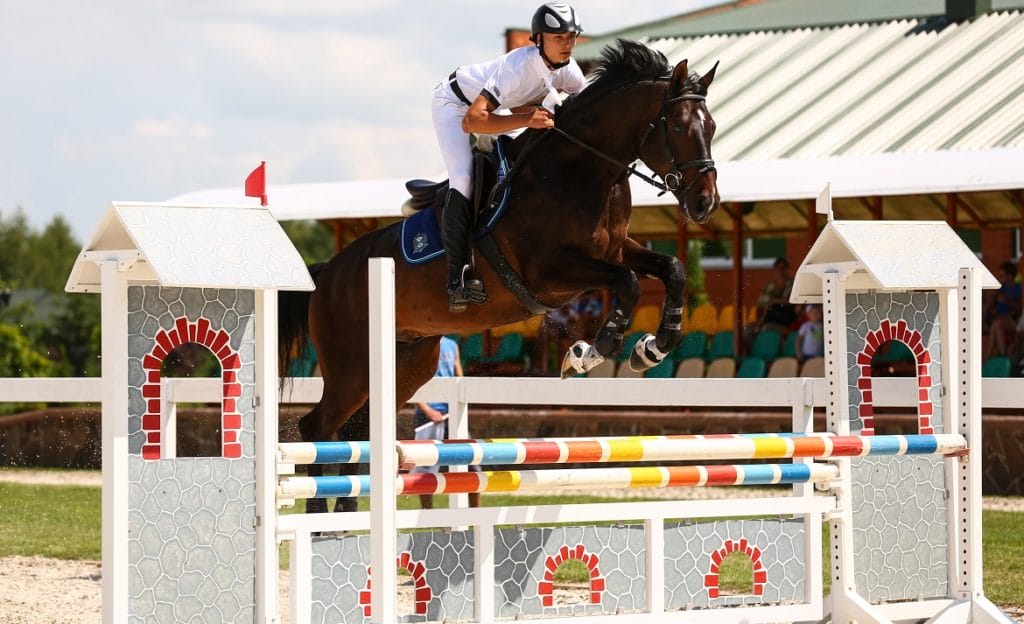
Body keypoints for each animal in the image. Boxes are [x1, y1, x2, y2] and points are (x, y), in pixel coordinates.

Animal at [280, 41, 720, 514]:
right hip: (350, 366)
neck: (582, 169)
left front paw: (653, 347)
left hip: (407, 362)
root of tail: (326, 274)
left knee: (354, 434)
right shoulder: (550, 272)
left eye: (711, 126)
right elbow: (628, 284)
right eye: (679, 127)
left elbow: (671, 270)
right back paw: (320, 519)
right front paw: (587, 353)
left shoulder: (616, 251)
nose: (704, 202)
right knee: (317, 429)